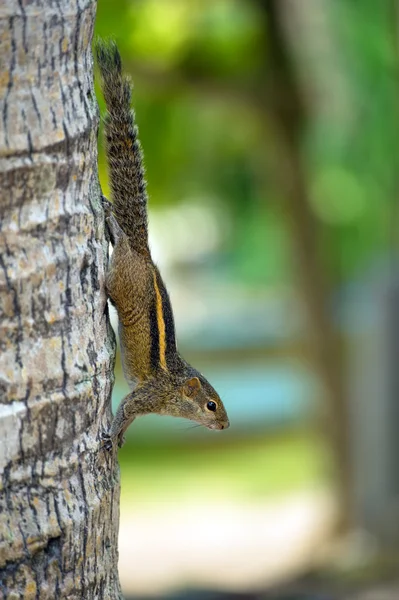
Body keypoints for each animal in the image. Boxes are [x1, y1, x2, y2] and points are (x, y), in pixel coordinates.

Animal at [96, 38, 231, 450]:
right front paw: (111, 437)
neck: (174, 389)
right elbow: (125, 409)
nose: (226, 425)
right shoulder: (146, 395)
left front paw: (121, 437)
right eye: (210, 405)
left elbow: (130, 418)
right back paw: (112, 221)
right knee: (120, 246)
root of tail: (146, 254)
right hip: (121, 276)